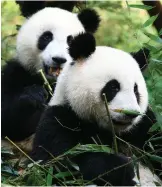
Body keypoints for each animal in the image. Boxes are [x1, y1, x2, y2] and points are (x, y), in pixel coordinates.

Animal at [1, 6, 100, 148]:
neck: (51, 81)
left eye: (70, 40)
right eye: (47, 37)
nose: (59, 59)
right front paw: (35, 95)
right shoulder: (16, 74)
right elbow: (8, 123)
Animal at [30, 32, 161, 186]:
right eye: (113, 87)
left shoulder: (145, 126)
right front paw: (122, 168)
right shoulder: (60, 119)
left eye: (136, 90)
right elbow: (58, 164)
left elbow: (155, 141)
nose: (131, 114)